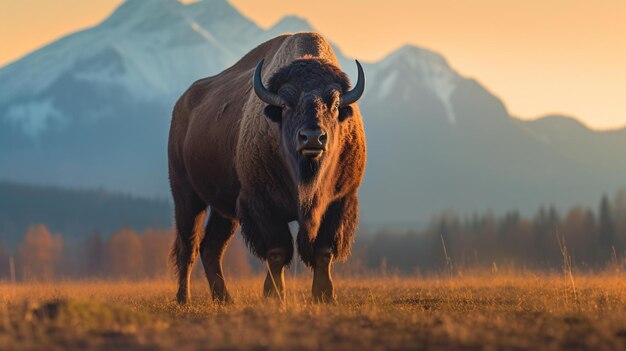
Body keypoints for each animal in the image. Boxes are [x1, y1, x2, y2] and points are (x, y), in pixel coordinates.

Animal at [169, 32, 366, 302]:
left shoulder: (339, 200)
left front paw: (324, 295)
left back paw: (225, 299)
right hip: (187, 196)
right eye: (286, 104)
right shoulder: (262, 202)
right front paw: (274, 295)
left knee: (211, 247)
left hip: (225, 211)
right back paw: (184, 298)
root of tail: (181, 105)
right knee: (188, 245)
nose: (312, 138)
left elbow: (323, 250)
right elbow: (277, 251)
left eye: (335, 104)